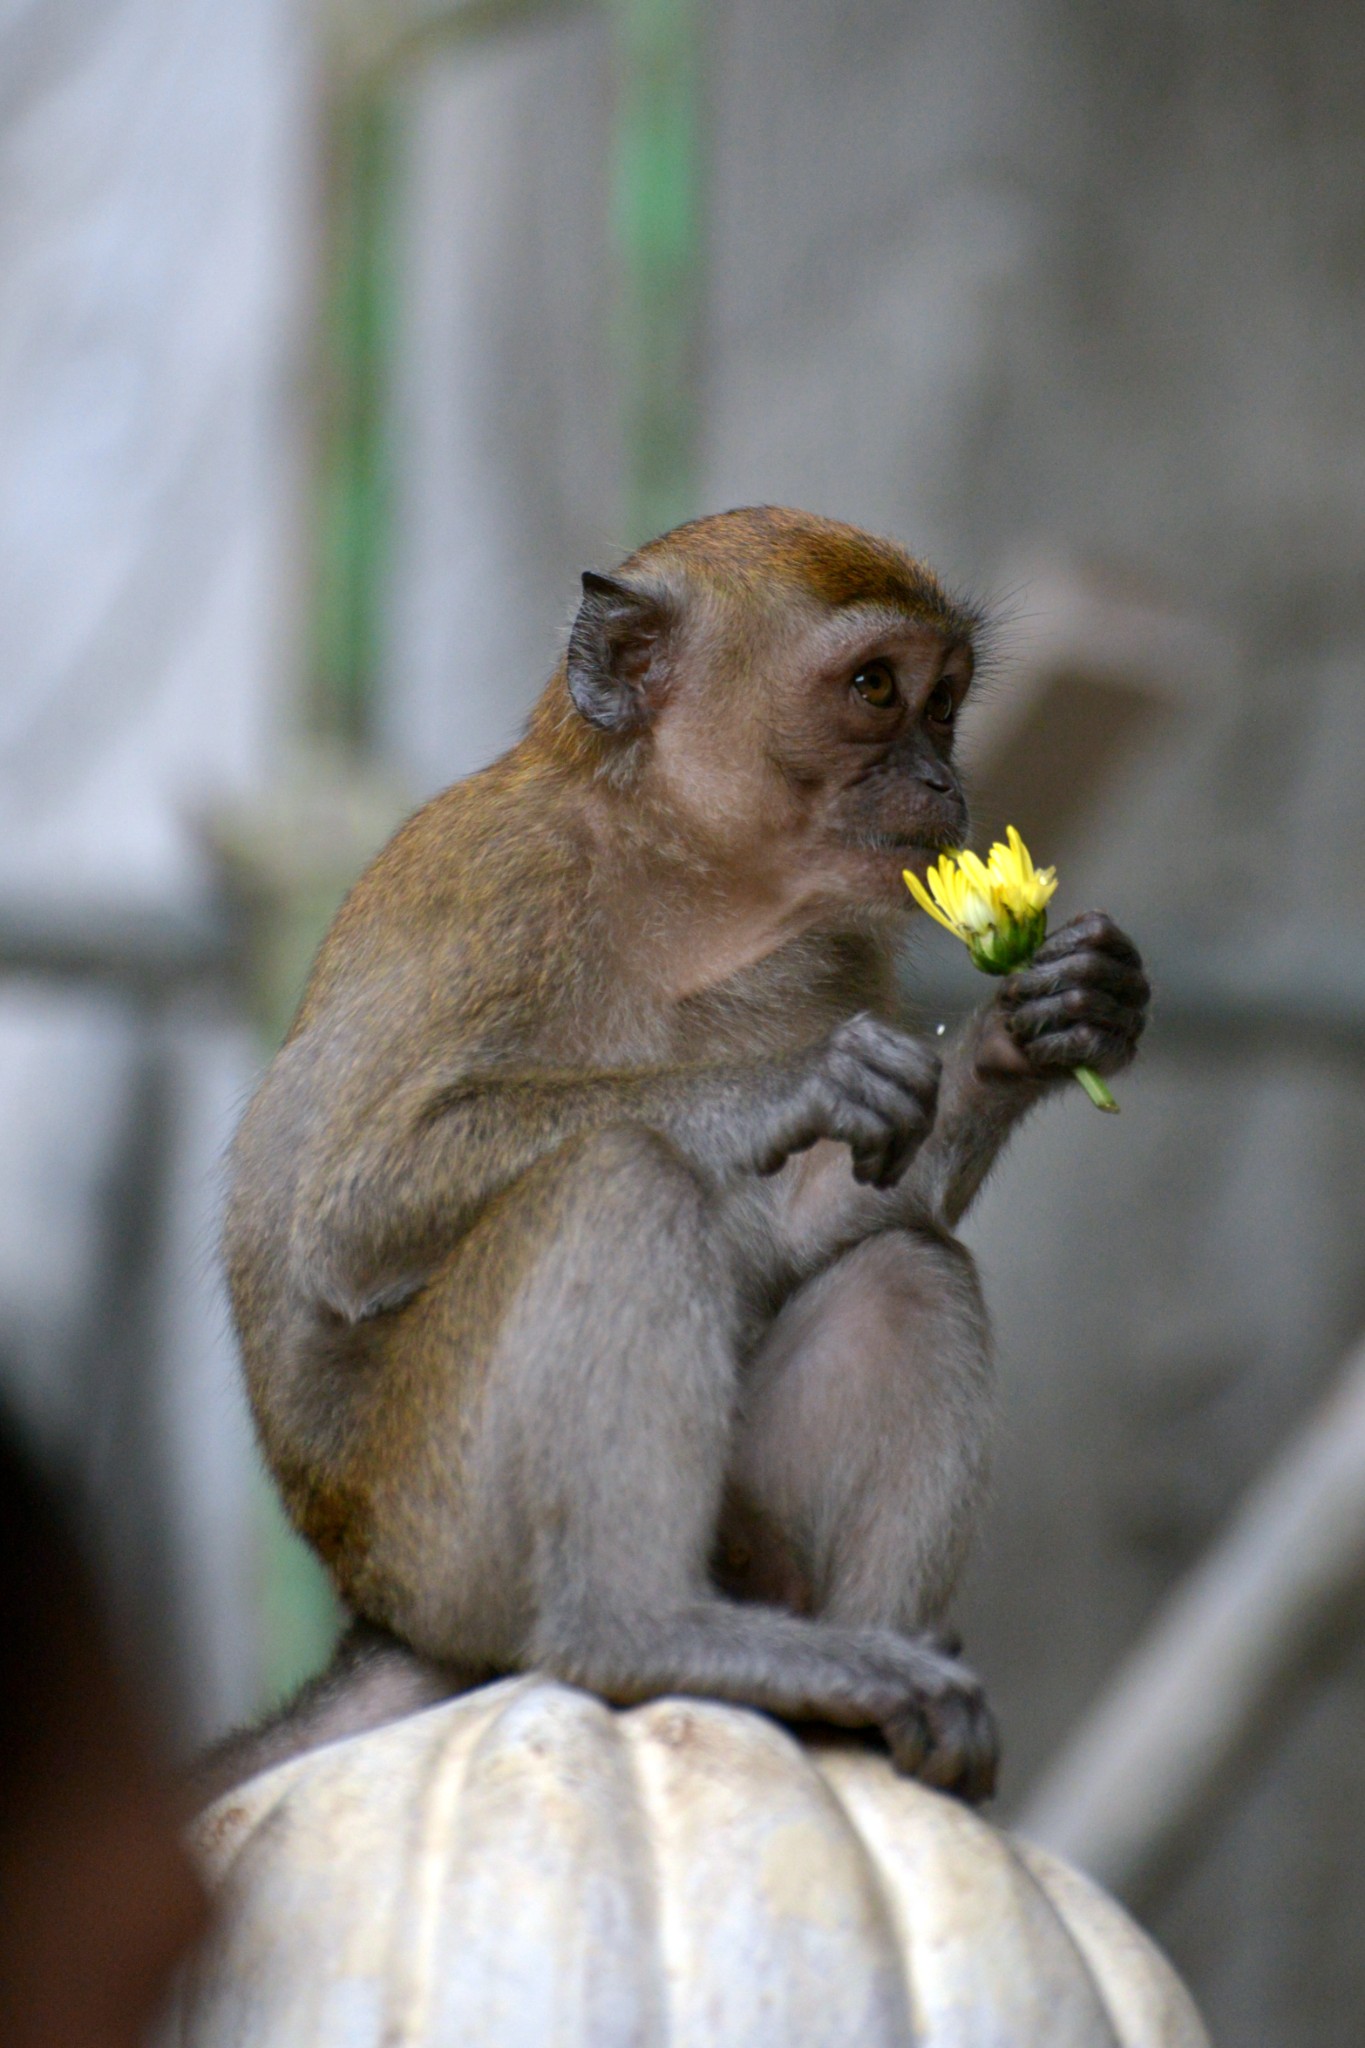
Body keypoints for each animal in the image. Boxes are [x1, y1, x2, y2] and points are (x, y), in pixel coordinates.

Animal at [218, 503, 1146, 1802]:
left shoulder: (838, 950)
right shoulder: (499, 885)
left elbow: (837, 1210)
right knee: (618, 1175)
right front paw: (788, 1084)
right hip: (444, 1524)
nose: (942, 777)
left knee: (906, 1267)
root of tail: (381, 1608)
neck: (688, 879)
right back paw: (643, 1632)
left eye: (948, 700)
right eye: (876, 688)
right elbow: (351, 1209)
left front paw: (1040, 1025)